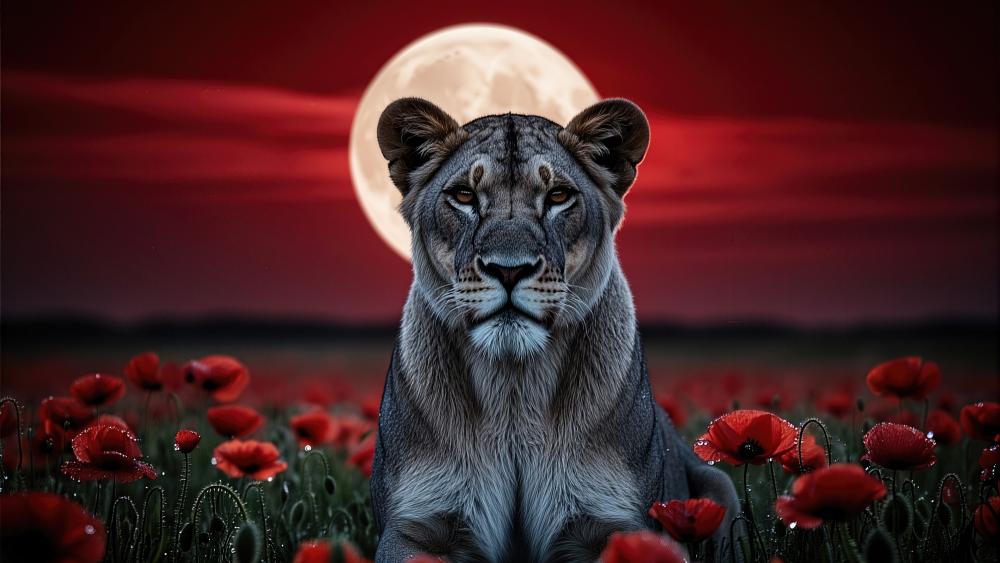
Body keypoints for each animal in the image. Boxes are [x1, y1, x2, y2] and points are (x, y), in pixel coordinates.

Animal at [370, 98, 741, 562]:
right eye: (464, 196)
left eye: (558, 196)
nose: (509, 270)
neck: (514, 391)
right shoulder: (411, 526)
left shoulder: (622, 525)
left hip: (720, 485)